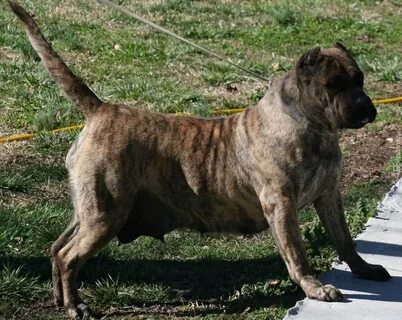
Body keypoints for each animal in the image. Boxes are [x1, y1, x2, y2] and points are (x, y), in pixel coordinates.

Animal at [7, 1, 390, 318]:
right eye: (334, 83)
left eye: (360, 79)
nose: (366, 108)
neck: (313, 127)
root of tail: (101, 110)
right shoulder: (282, 205)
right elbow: (297, 253)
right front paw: (315, 287)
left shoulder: (329, 196)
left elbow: (344, 239)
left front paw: (364, 269)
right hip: (104, 214)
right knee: (69, 257)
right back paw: (76, 306)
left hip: (90, 210)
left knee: (57, 249)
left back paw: (61, 299)